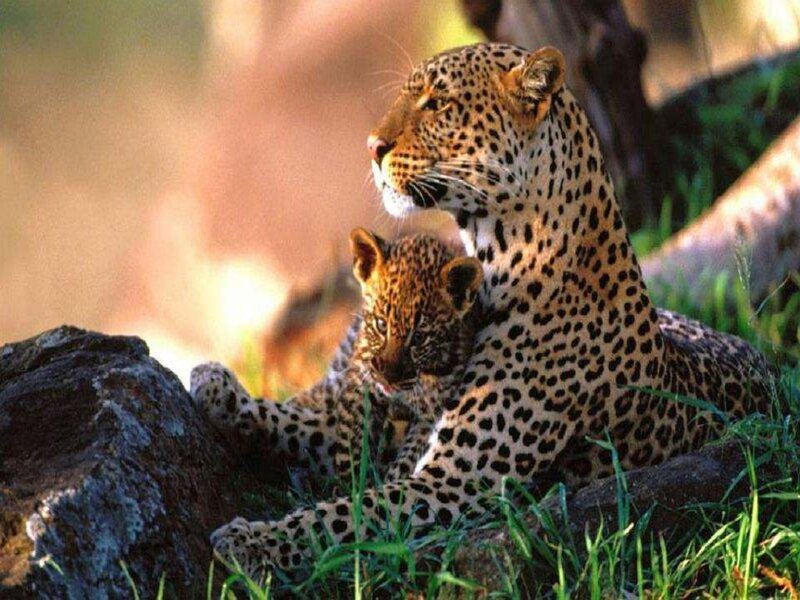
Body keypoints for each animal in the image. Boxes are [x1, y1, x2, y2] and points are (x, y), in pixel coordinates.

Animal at [191, 228, 482, 485]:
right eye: (381, 325)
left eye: (420, 338)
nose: (387, 377)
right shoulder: (349, 384)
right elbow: (303, 414)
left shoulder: (422, 414)